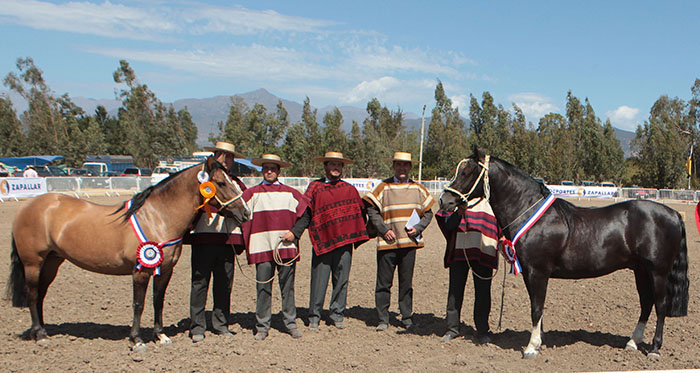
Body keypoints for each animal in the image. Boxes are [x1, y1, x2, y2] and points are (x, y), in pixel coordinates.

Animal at [6, 156, 252, 352]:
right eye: (220, 183)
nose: (246, 213)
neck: (158, 217)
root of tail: (28, 206)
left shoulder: (165, 270)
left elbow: (158, 301)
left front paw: (160, 336)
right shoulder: (140, 270)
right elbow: (138, 304)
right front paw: (137, 340)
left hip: (52, 261)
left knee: (40, 294)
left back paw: (41, 331)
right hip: (33, 262)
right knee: (32, 293)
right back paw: (40, 335)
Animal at [440, 147, 692, 358]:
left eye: (467, 172)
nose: (445, 201)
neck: (529, 212)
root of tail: (673, 214)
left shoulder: (538, 273)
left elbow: (536, 308)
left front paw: (531, 348)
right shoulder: (530, 274)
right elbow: (537, 307)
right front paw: (539, 341)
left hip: (658, 271)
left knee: (660, 305)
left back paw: (655, 349)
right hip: (640, 270)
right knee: (646, 303)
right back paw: (632, 342)